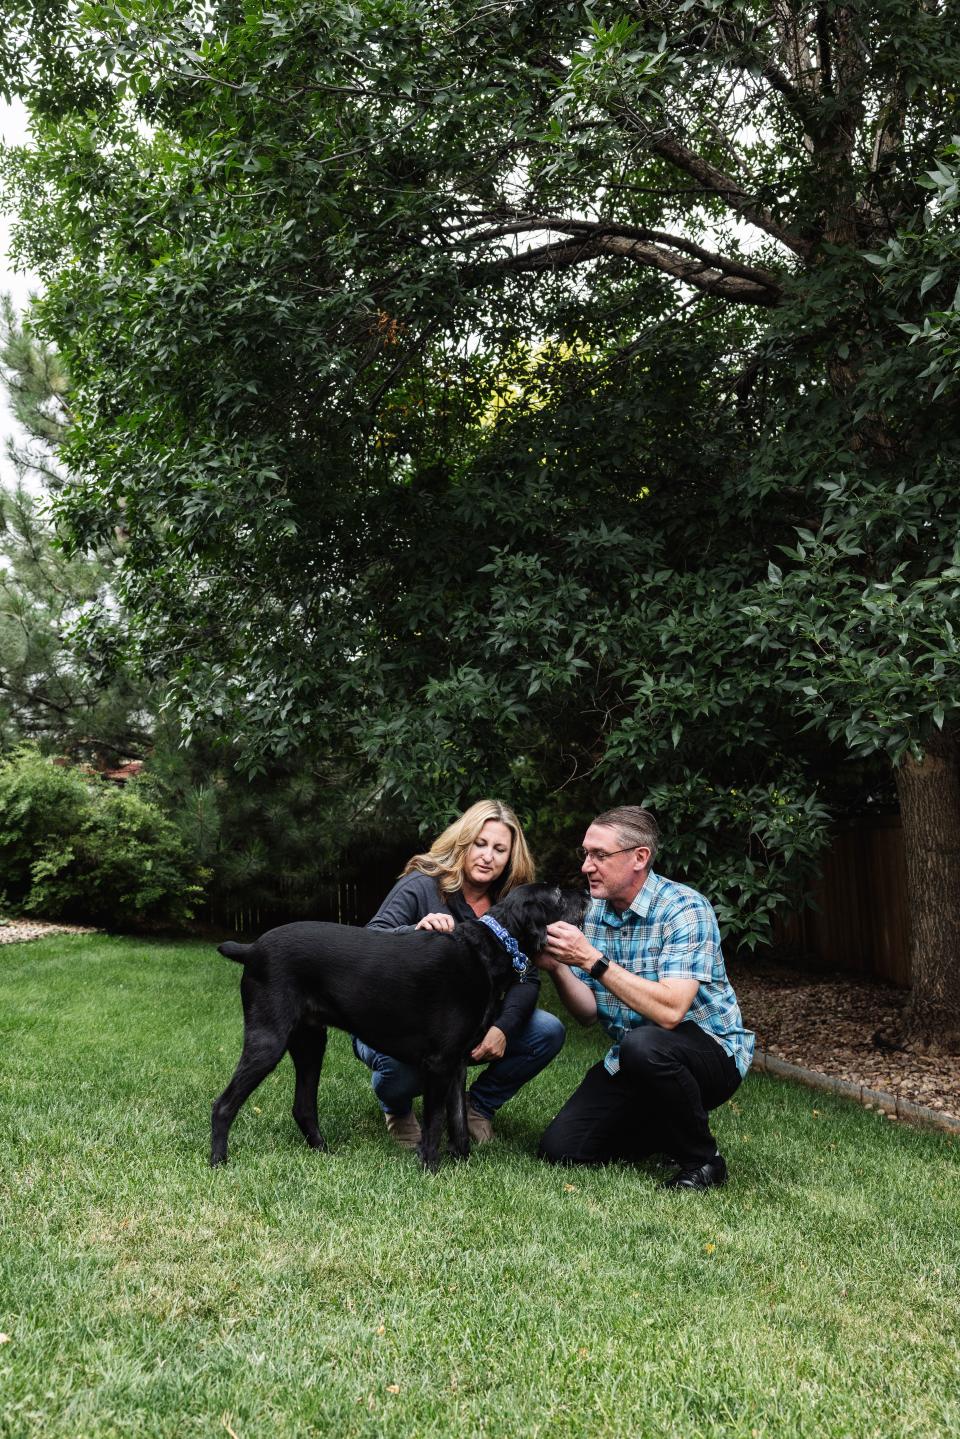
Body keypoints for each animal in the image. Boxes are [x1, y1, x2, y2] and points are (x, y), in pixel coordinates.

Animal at [211, 874, 587, 1168]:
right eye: (556, 894)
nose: (585, 891)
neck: (488, 948)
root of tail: (252, 948)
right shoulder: (439, 1063)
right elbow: (436, 1121)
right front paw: (430, 1167)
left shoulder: (457, 1063)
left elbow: (458, 1119)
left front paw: (462, 1162)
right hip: (268, 1040)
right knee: (223, 1104)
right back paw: (218, 1161)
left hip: (310, 1042)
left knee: (303, 1107)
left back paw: (323, 1152)